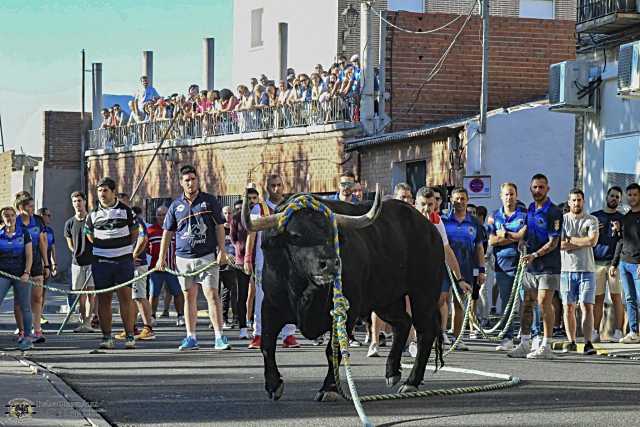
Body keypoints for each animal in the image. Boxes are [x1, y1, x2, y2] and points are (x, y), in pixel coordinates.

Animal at [245, 194, 444, 402]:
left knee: (424, 332)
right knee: (403, 323)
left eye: (332, 233)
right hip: (386, 300)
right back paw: (392, 372)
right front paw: (273, 385)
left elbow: (333, 351)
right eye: (296, 235)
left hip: (423, 294)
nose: (331, 263)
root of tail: (428, 228)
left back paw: (411, 382)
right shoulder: (270, 306)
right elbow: (267, 346)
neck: (305, 290)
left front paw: (329, 388)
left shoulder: (348, 311)